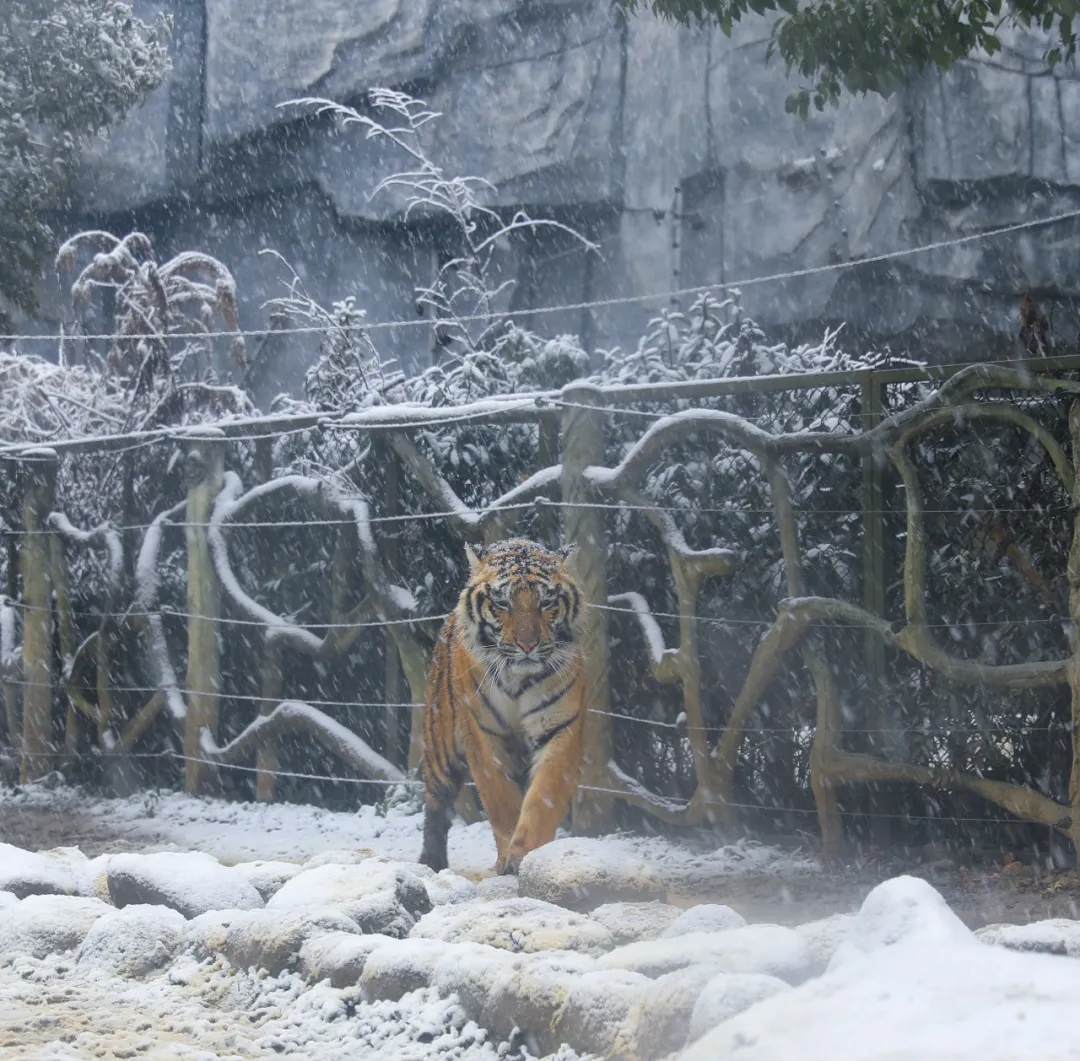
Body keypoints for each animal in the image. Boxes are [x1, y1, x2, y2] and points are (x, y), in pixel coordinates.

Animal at [416, 540, 587, 881]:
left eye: (547, 602)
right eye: (501, 602)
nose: (527, 645)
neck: (519, 679)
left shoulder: (561, 727)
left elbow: (542, 798)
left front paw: (525, 856)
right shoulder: (483, 734)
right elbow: (501, 800)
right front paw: (507, 857)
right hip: (440, 748)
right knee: (436, 804)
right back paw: (432, 862)